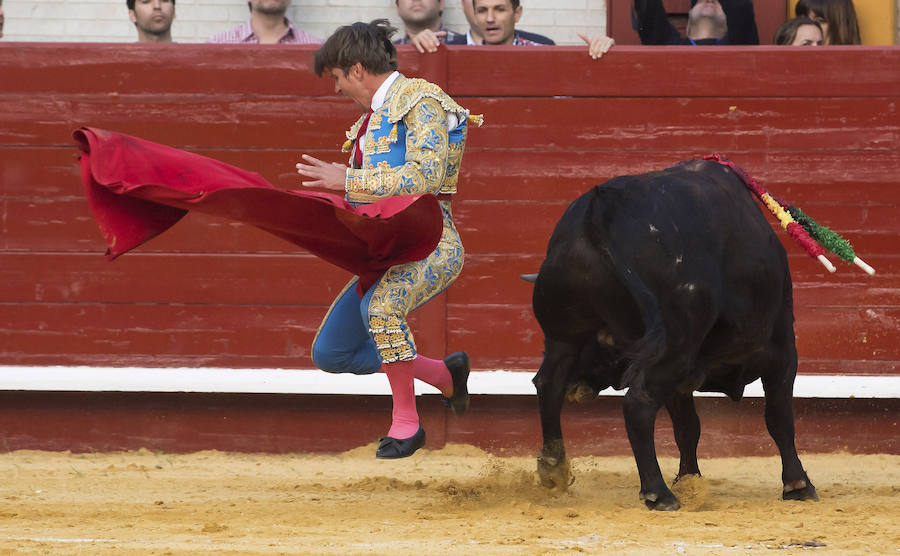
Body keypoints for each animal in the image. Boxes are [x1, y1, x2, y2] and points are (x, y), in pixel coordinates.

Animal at [532, 159, 820, 510]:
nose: (580, 383)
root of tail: (600, 209)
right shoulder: (782, 351)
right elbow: (779, 418)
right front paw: (798, 484)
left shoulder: (683, 376)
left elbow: (687, 427)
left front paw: (689, 480)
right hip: (675, 344)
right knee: (638, 403)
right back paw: (658, 493)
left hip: (564, 334)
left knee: (549, 384)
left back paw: (554, 468)